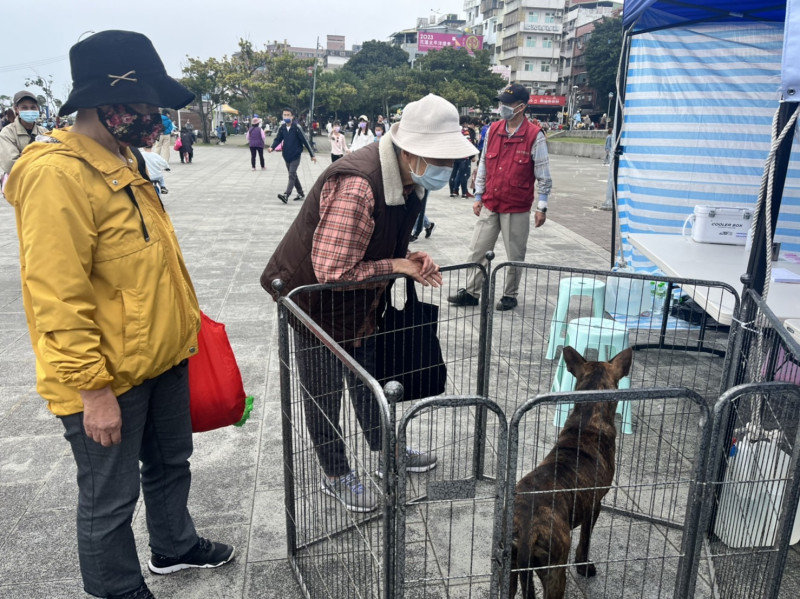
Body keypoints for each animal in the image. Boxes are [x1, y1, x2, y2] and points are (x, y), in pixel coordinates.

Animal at [512, 344, 632, 596]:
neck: (587, 421)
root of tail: (527, 530)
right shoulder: (594, 506)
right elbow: (585, 539)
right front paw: (584, 566)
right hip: (554, 572)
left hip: (509, 567)